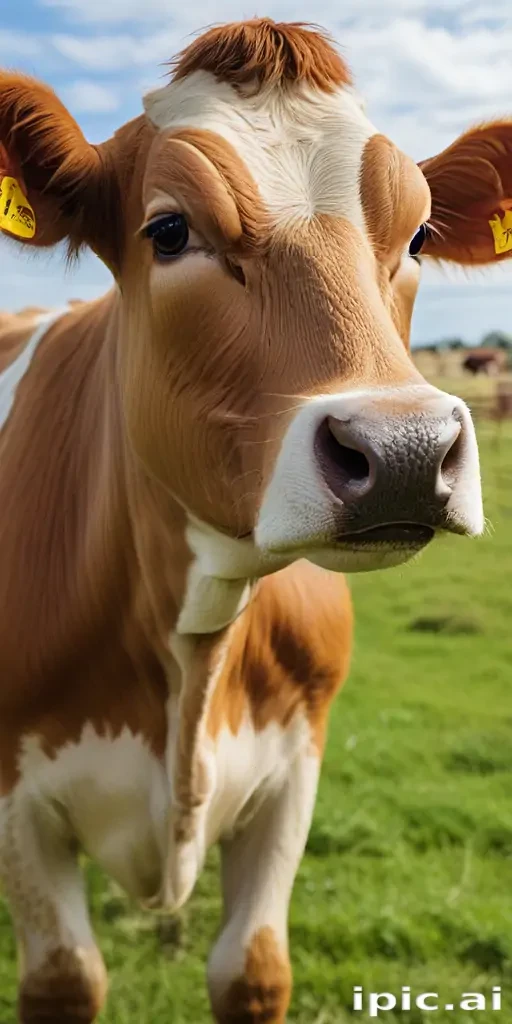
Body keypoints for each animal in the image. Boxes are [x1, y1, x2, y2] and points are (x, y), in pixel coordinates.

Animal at [1, 18, 512, 1024]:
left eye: (419, 234)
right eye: (168, 229)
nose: (404, 451)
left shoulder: (294, 769)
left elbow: (254, 969)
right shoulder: (16, 802)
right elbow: (65, 978)